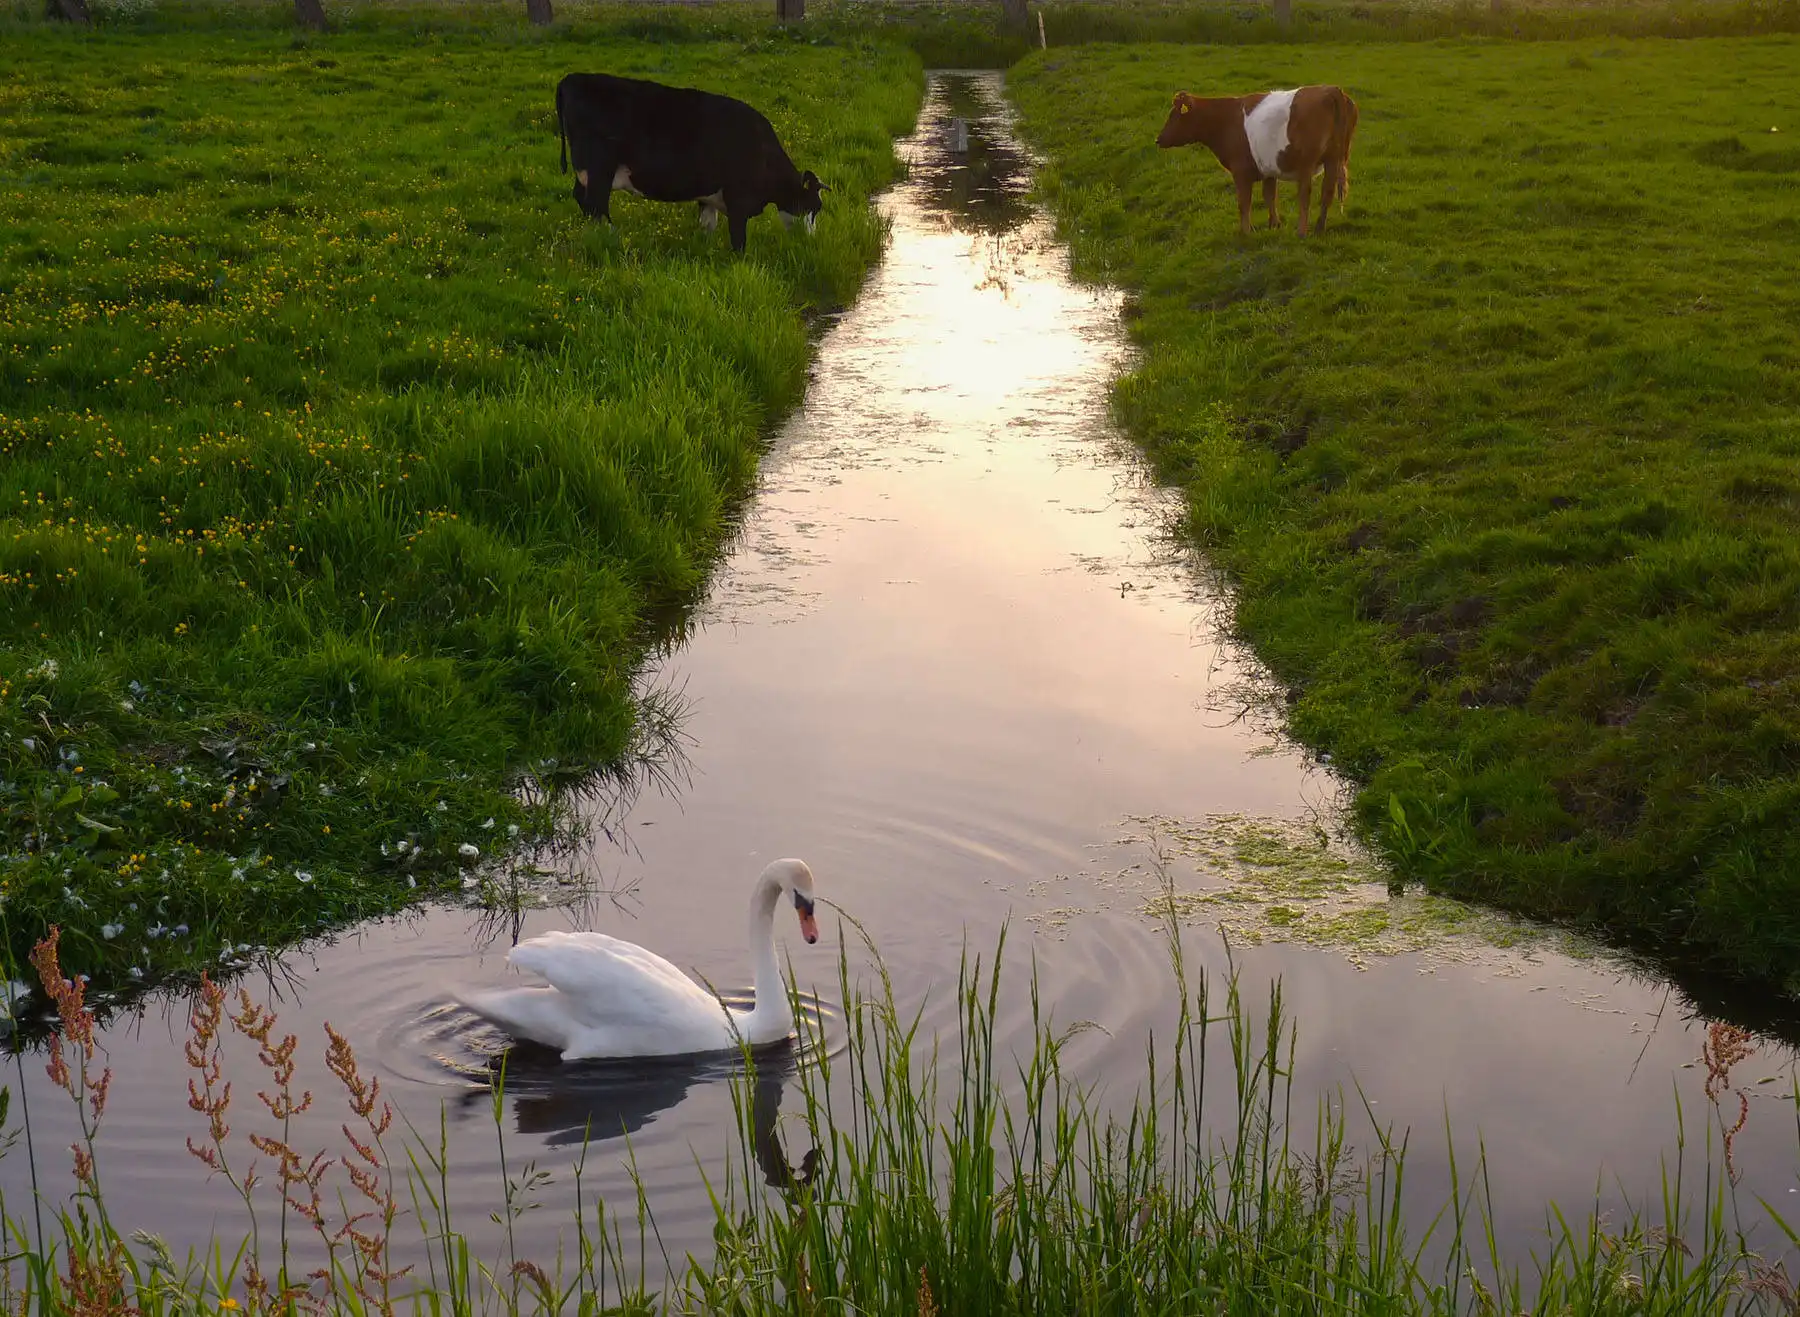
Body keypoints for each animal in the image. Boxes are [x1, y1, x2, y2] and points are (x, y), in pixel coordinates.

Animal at [550, 73, 824, 253]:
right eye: (813, 207)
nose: (811, 241)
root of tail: (572, 78)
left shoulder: (709, 195)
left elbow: (707, 224)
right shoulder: (738, 199)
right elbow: (738, 239)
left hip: (586, 172)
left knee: (583, 199)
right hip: (598, 170)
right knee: (596, 205)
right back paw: (610, 239)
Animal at [1159, 83, 1353, 237]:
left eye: (1173, 116)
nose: (1158, 139)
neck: (1225, 119)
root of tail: (1331, 89)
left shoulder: (1240, 171)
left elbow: (1244, 202)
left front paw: (1246, 231)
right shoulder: (1268, 169)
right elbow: (1270, 196)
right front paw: (1274, 225)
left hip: (1306, 162)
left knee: (1305, 196)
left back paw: (1302, 232)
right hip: (1332, 159)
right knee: (1327, 192)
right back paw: (1319, 229)